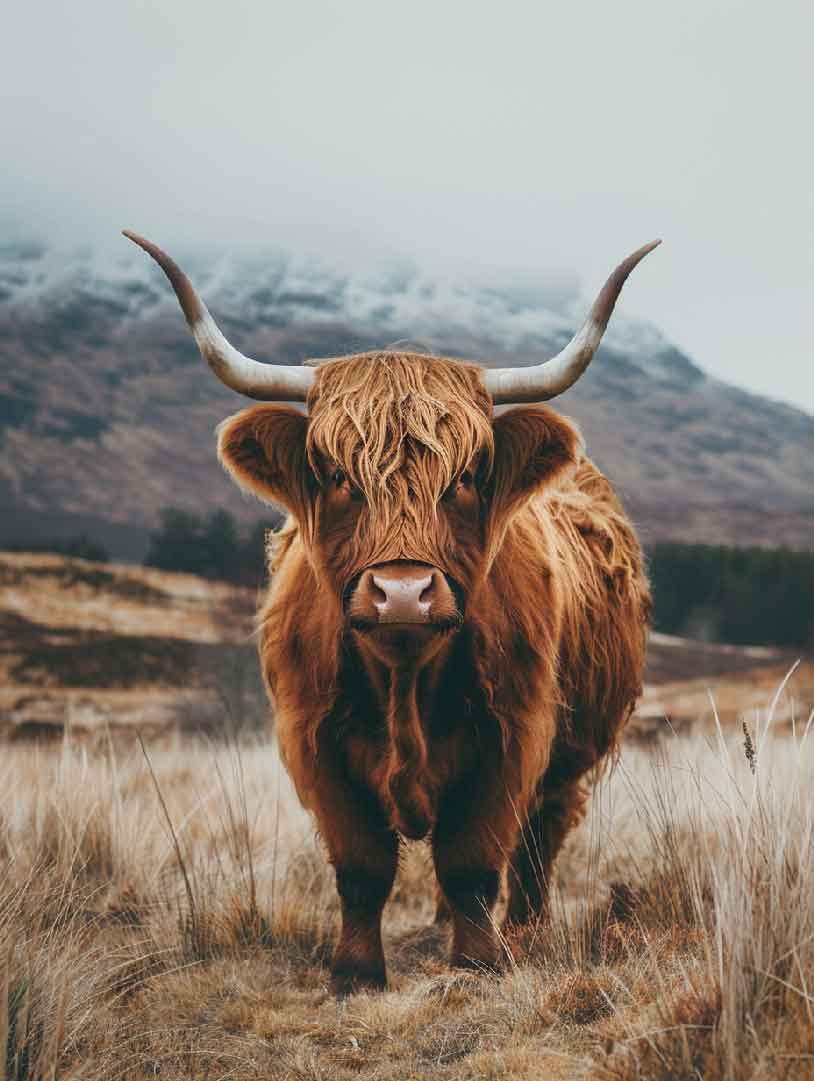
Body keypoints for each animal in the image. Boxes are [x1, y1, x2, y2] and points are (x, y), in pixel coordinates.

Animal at [125, 232, 652, 990]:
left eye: (466, 476)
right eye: (335, 474)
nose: (403, 592)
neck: (404, 680)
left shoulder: (513, 734)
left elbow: (472, 859)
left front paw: (478, 963)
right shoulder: (313, 739)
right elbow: (362, 867)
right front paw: (354, 973)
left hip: (570, 758)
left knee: (538, 840)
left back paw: (525, 930)